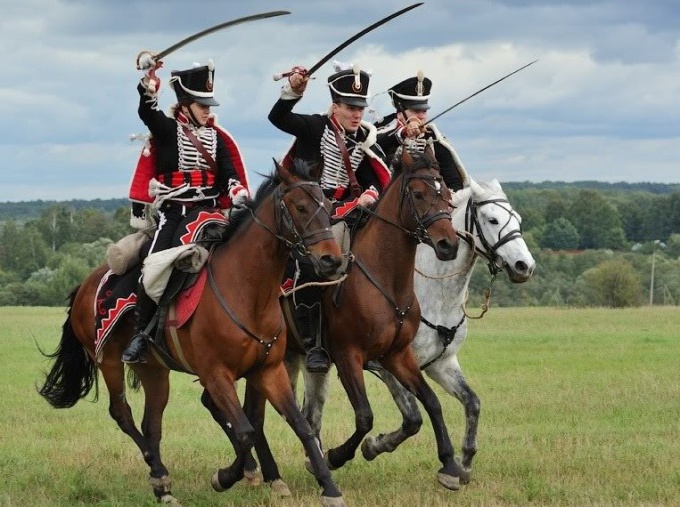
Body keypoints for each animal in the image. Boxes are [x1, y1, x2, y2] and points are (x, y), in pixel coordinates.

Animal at [37, 161, 348, 506]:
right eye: (300, 206)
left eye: (328, 207)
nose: (331, 260)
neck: (246, 290)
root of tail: (85, 285)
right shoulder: (216, 374)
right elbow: (246, 431)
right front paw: (226, 477)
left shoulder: (268, 370)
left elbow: (300, 426)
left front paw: (329, 488)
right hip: (110, 362)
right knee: (123, 414)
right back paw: (157, 471)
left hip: (153, 371)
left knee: (151, 424)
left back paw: (163, 485)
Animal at [286, 178, 532, 484]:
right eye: (492, 219)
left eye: (518, 219)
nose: (525, 266)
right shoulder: (383, 365)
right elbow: (413, 417)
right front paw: (374, 446)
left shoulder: (441, 364)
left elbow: (472, 402)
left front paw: (463, 464)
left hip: (312, 365)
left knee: (311, 415)